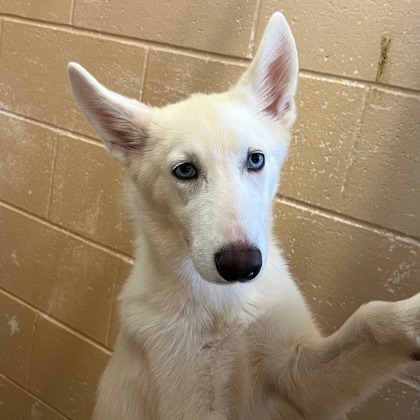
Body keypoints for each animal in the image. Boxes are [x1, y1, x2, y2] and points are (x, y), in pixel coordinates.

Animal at [68, 12, 420, 420]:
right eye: (185, 170)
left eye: (255, 159)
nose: (241, 266)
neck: (223, 308)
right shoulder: (192, 405)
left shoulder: (300, 378)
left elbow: (370, 319)